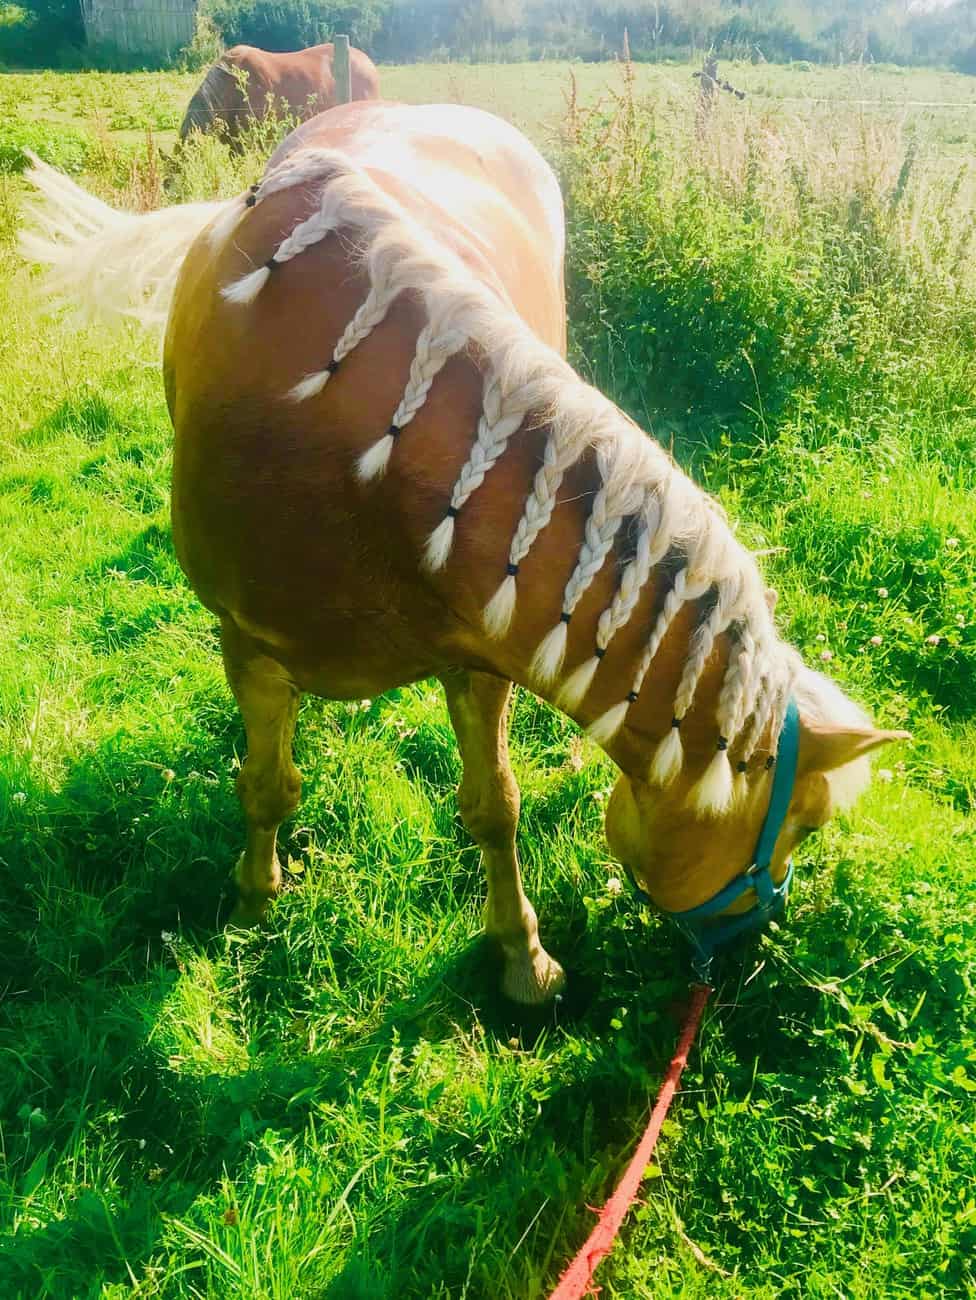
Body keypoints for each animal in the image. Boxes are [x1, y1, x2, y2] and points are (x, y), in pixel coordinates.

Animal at [21, 101, 907, 1004]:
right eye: (805, 823)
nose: (753, 945)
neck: (366, 458)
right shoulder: (246, 641)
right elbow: (268, 786)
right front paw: (251, 902)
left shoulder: (480, 654)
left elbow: (494, 805)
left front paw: (522, 954)